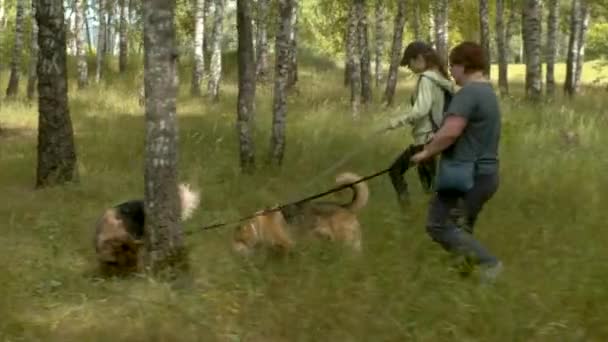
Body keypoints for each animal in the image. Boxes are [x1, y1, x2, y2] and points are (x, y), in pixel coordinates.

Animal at [232, 172, 366, 258]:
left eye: (236, 241)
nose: (232, 252)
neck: (258, 227)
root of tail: (346, 207)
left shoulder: (286, 245)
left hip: (346, 242)